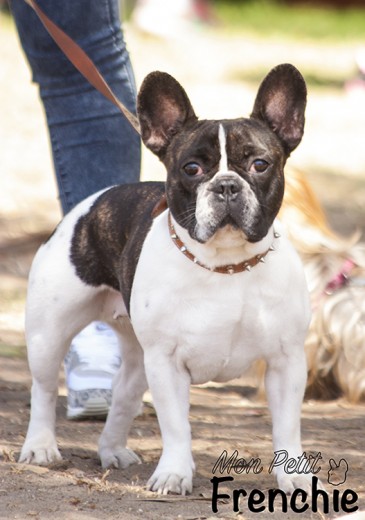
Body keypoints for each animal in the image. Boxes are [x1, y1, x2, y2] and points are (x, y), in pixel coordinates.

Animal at [19, 64, 312, 496]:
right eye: (192, 169)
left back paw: (112, 450)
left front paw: (295, 476)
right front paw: (174, 473)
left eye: (260, 164)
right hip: (48, 334)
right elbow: (176, 426)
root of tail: (91, 203)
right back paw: (40, 446)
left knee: (123, 394)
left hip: (139, 357)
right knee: (42, 389)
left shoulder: (286, 361)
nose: (227, 185)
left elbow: (288, 426)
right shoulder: (168, 363)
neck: (225, 265)